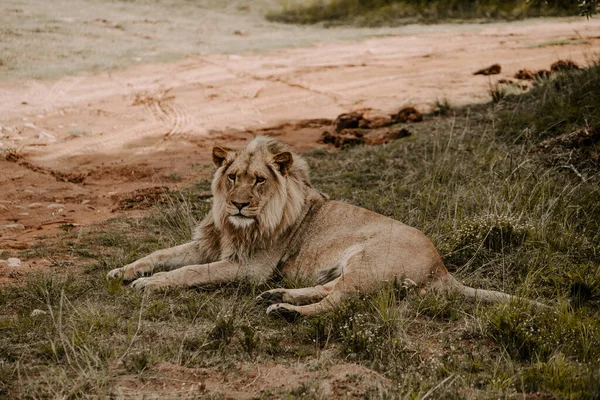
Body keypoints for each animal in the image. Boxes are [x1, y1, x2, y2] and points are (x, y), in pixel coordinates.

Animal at [106, 136, 544, 318]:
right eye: (232, 177)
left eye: (258, 181)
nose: (239, 204)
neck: (236, 226)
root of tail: (443, 268)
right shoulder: (208, 244)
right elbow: (161, 254)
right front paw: (122, 271)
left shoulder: (248, 267)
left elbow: (191, 272)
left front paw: (149, 284)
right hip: (355, 269)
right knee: (332, 289)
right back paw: (279, 296)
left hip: (369, 262)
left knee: (339, 302)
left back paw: (286, 311)